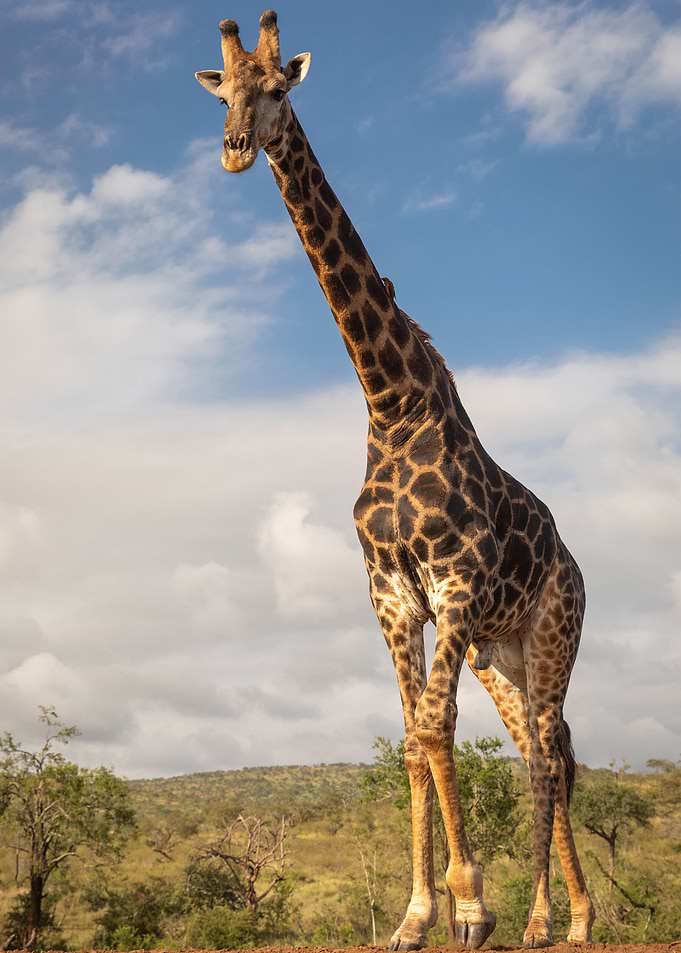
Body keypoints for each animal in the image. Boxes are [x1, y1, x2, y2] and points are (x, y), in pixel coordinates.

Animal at [196, 11, 595, 949]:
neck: (388, 400)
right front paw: (418, 914)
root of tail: (574, 565)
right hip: (501, 655)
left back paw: (554, 919)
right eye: (222, 93)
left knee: (548, 756)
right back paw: (563, 915)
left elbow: (432, 727)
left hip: (554, 632)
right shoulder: (389, 595)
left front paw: (472, 907)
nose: (235, 149)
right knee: (543, 748)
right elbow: (412, 738)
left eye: (278, 88)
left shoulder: (452, 583)